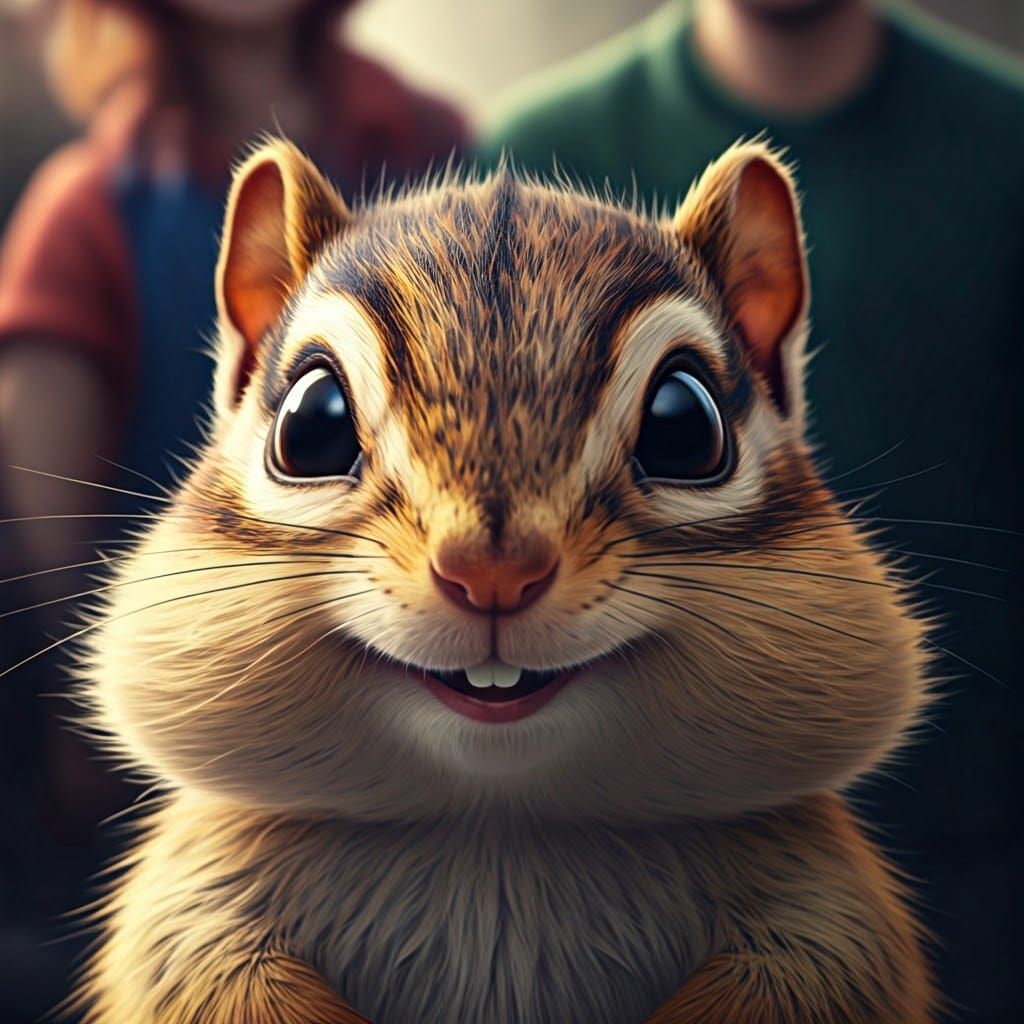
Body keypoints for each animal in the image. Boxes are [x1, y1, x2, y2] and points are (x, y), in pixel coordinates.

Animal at [74, 137, 936, 1023]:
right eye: (311, 424)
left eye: (685, 425)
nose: (492, 572)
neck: (496, 825)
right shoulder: (195, 908)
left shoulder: (825, 913)